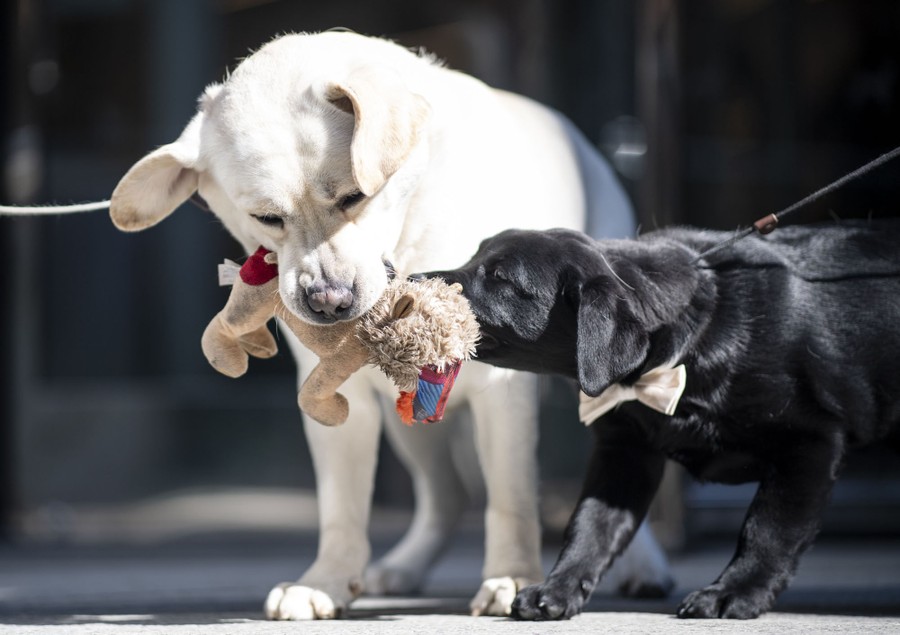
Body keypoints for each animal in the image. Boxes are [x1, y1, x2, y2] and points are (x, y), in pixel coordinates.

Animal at [109, 31, 672, 620]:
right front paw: (327, 582)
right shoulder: (336, 395)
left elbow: (511, 496)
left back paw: (645, 566)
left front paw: (513, 576)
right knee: (448, 496)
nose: (328, 302)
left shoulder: (502, 389)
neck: (409, 242)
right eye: (267, 218)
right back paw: (404, 566)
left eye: (355, 197)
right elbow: (341, 507)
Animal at [428, 220, 900, 620]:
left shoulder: (810, 441)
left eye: (500, 277)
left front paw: (733, 593)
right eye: (474, 256)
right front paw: (558, 589)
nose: (415, 279)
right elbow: (590, 526)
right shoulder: (625, 453)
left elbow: (767, 529)